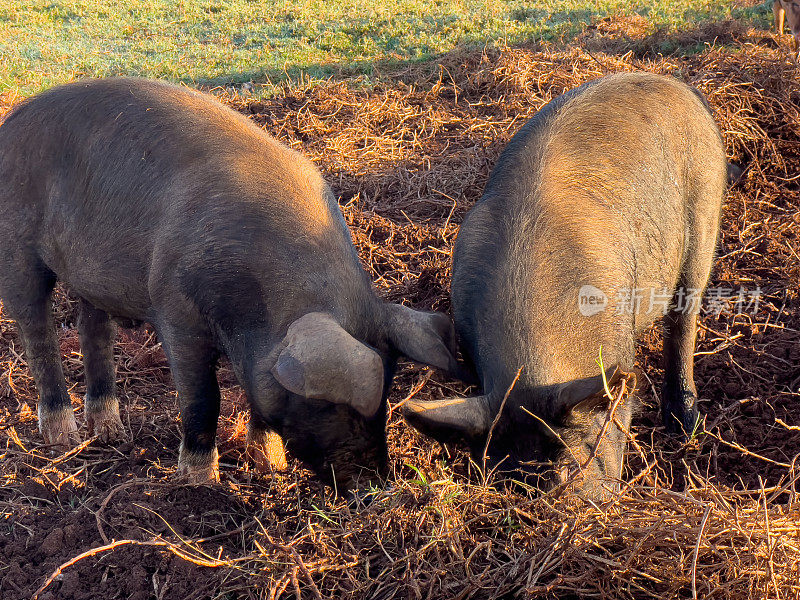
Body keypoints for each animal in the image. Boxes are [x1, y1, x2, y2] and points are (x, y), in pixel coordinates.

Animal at [0, 78, 460, 492]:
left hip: (90, 276)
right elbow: (204, 397)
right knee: (37, 331)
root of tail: (12, 120)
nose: (375, 484)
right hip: (17, 249)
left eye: (388, 395)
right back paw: (63, 437)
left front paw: (271, 468)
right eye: (324, 402)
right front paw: (203, 484)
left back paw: (111, 432)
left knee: (92, 328)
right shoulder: (175, 311)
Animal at [404, 72, 728, 500]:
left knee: (684, 319)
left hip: (704, 208)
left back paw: (685, 424)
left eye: (581, 453)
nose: (563, 497)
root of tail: (678, 85)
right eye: (501, 472)